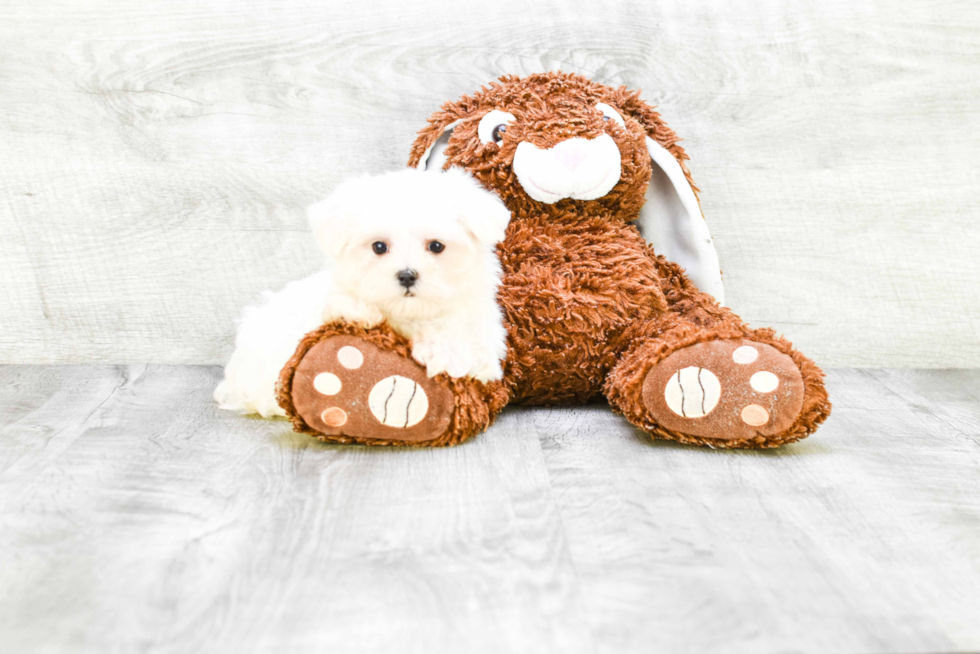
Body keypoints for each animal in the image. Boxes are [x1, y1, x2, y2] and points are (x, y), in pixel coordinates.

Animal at [213, 167, 512, 418]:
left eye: (436, 246)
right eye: (379, 247)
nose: (407, 275)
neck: (408, 316)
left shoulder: (485, 339)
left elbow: (464, 340)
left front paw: (444, 353)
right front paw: (359, 311)